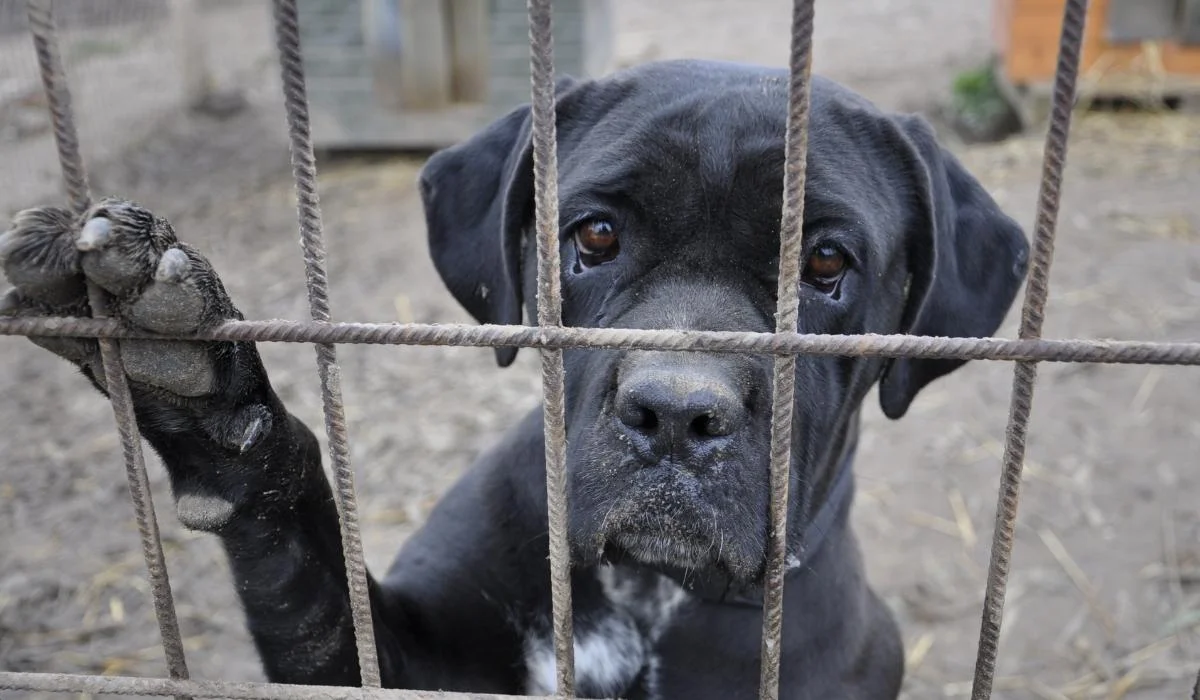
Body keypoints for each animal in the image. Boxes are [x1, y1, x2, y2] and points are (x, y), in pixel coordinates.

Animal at [2, 61, 1032, 700]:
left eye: (824, 265)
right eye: (596, 236)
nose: (676, 413)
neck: (644, 597)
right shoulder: (393, 657)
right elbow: (303, 570)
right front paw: (203, 394)